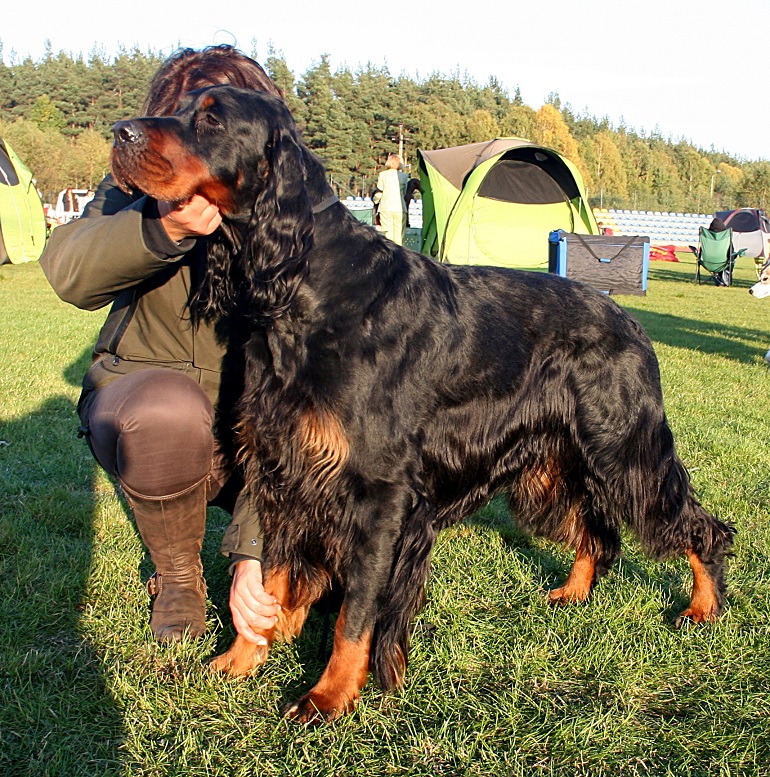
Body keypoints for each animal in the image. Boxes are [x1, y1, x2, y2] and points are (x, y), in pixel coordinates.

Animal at [111, 86, 736, 720]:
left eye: (212, 118)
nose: (120, 132)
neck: (311, 289)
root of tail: (628, 319)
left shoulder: (379, 493)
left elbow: (356, 613)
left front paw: (328, 696)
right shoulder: (285, 464)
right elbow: (273, 576)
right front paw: (242, 659)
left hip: (624, 450)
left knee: (700, 528)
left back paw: (702, 606)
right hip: (553, 465)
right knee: (598, 533)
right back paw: (574, 591)